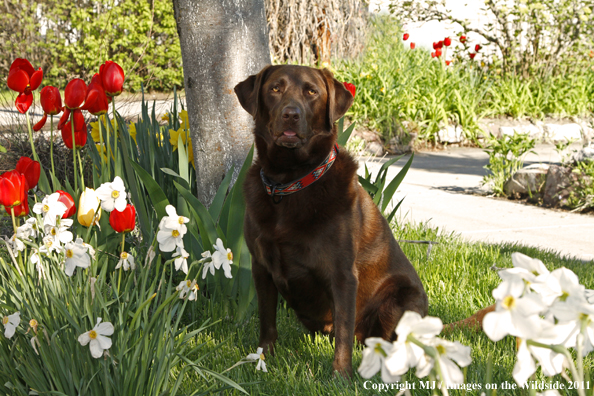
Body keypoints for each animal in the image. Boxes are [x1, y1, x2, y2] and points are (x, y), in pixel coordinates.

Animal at [232, 65, 426, 378]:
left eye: (312, 91)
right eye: (275, 88)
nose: (291, 114)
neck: (290, 182)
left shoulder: (342, 274)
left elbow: (343, 334)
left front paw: (340, 376)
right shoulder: (260, 267)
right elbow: (267, 320)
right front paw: (262, 358)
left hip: (400, 300)